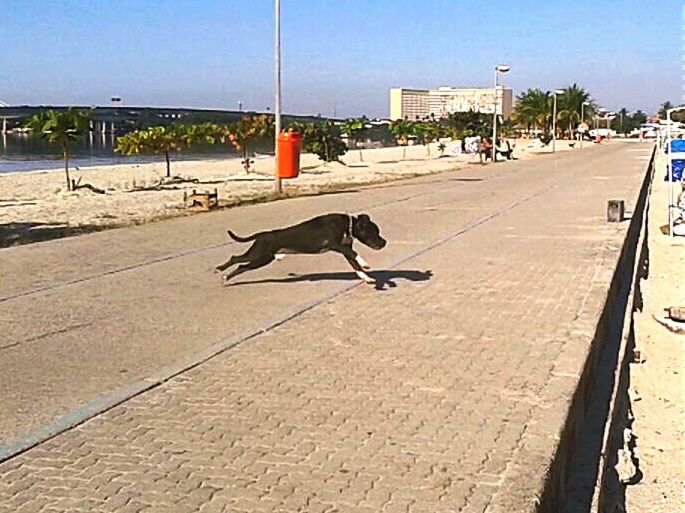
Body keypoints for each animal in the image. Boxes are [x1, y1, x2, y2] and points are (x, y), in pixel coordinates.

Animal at [214, 212, 384, 284]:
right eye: (374, 232)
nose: (384, 242)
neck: (347, 225)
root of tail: (262, 235)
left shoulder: (344, 251)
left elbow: (356, 265)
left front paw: (367, 278)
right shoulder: (334, 245)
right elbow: (354, 253)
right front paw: (365, 263)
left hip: (263, 258)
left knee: (241, 266)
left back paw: (226, 276)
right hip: (258, 256)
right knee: (237, 260)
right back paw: (221, 271)